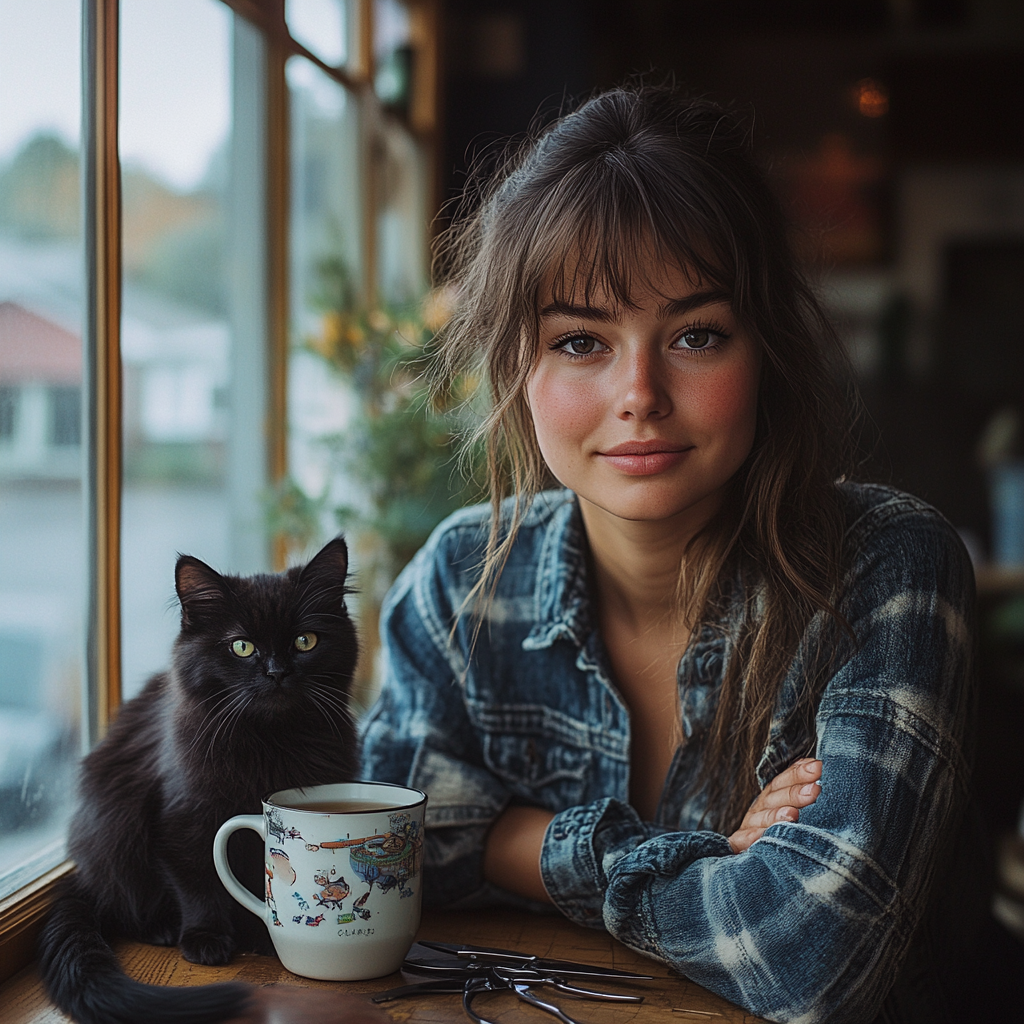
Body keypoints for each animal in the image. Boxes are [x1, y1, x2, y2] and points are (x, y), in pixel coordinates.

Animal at [40, 536, 368, 1024]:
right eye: (242, 647)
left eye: (305, 641)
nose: (277, 672)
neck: (269, 743)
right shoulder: (183, 818)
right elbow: (200, 880)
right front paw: (207, 938)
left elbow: (254, 879)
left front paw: (260, 932)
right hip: (114, 832)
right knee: (123, 901)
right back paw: (163, 928)